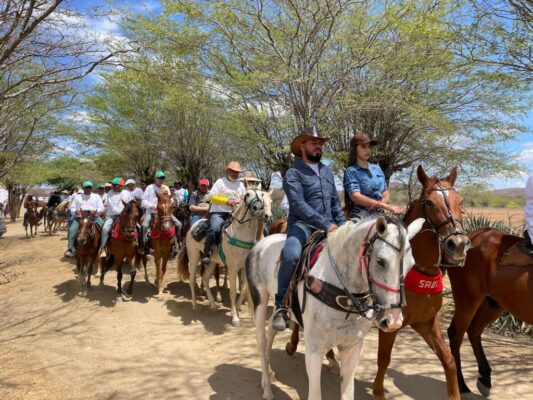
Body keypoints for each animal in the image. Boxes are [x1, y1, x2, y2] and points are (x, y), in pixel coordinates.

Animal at [245, 216, 424, 400]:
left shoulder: (352, 348)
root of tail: (260, 244)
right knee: (261, 340)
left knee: (272, 329)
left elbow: (347, 393)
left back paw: (269, 371)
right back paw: (267, 387)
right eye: (380, 261)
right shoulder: (314, 350)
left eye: (412, 265)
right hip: (260, 299)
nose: (394, 320)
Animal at [446, 228, 528, 396]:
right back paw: (461, 385)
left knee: (474, 331)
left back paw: (485, 378)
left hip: (493, 304)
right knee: (456, 334)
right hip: (468, 299)